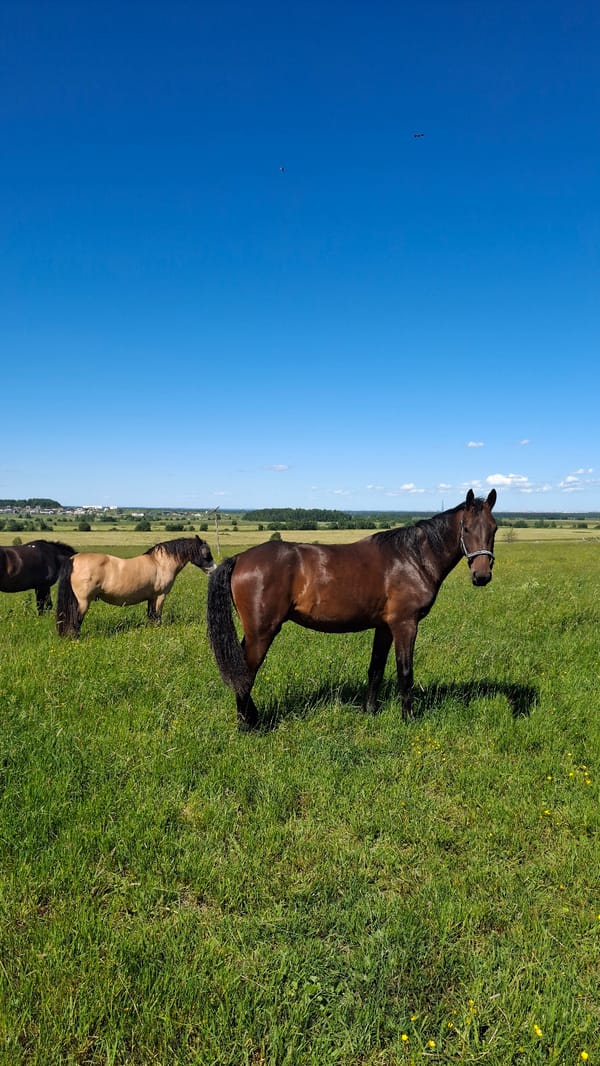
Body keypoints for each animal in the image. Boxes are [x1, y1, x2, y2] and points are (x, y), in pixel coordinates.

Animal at [56, 535, 216, 637]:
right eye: (207, 553)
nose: (214, 570)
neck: (160, 563)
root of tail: (73, 559)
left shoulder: (152, 597)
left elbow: (151, 615)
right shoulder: (160, 596)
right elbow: (157, 616)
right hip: (83, 602)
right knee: (76, 619)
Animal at [207, 489, 497, 728]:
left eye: (493, 529)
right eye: (466, 528)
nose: (482, 576)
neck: (413, 558)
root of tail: (240, 558)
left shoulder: (384, 627)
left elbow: (376, 669)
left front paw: (369, 712)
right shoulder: (405, 625)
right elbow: (405, 672)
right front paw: (408, 718)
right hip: (262, 632)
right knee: (246, 672)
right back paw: (247, 725)